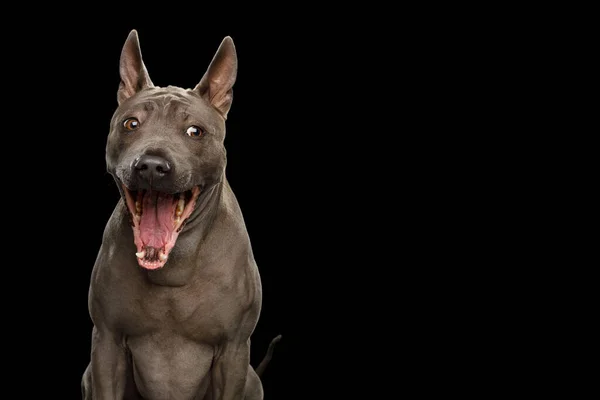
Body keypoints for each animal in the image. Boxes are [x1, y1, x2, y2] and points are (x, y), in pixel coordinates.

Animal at [82, 29, 282, 398]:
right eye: (131, 124)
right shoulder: (107, 344)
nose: (151, 165)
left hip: (251, 378)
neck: (172, 267)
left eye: (194, 131)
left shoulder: (233, 351)